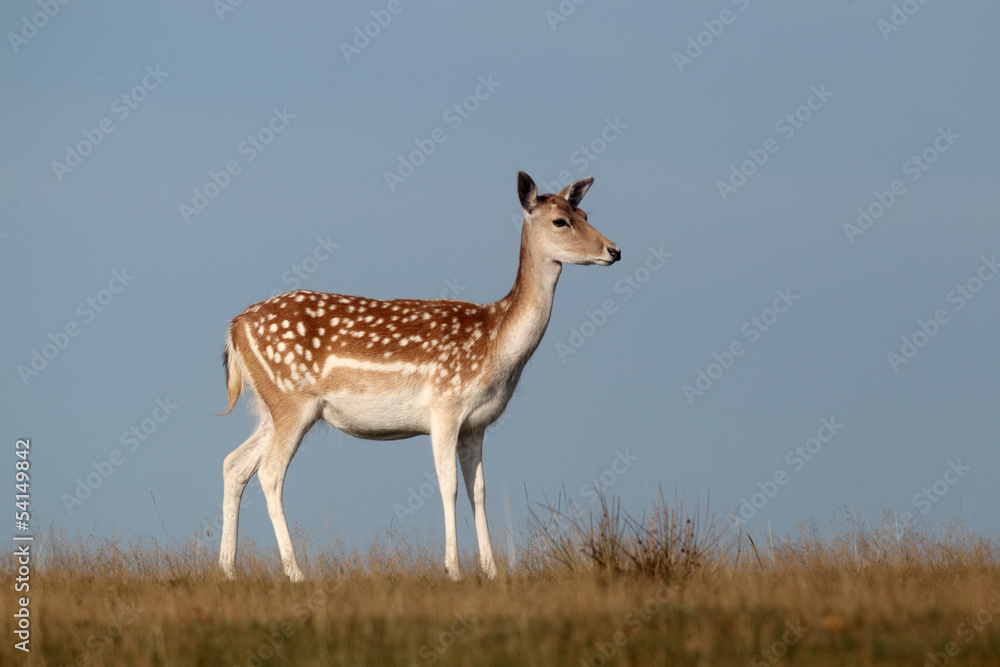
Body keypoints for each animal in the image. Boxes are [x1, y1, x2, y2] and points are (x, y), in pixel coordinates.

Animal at [218, 171, 620, 582]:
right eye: (560, 221)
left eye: (584, 213)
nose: (614, 250)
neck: (495, 345)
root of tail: (235, 328)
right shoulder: (445, 406)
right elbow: (448, 485)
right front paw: (454, 570)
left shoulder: (477, 423)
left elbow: (478, 488)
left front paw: (491, 571)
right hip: (291, 400)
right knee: (270, 472)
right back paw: (295, 573)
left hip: (270, 406)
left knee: (234, 464)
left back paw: (227, 569)